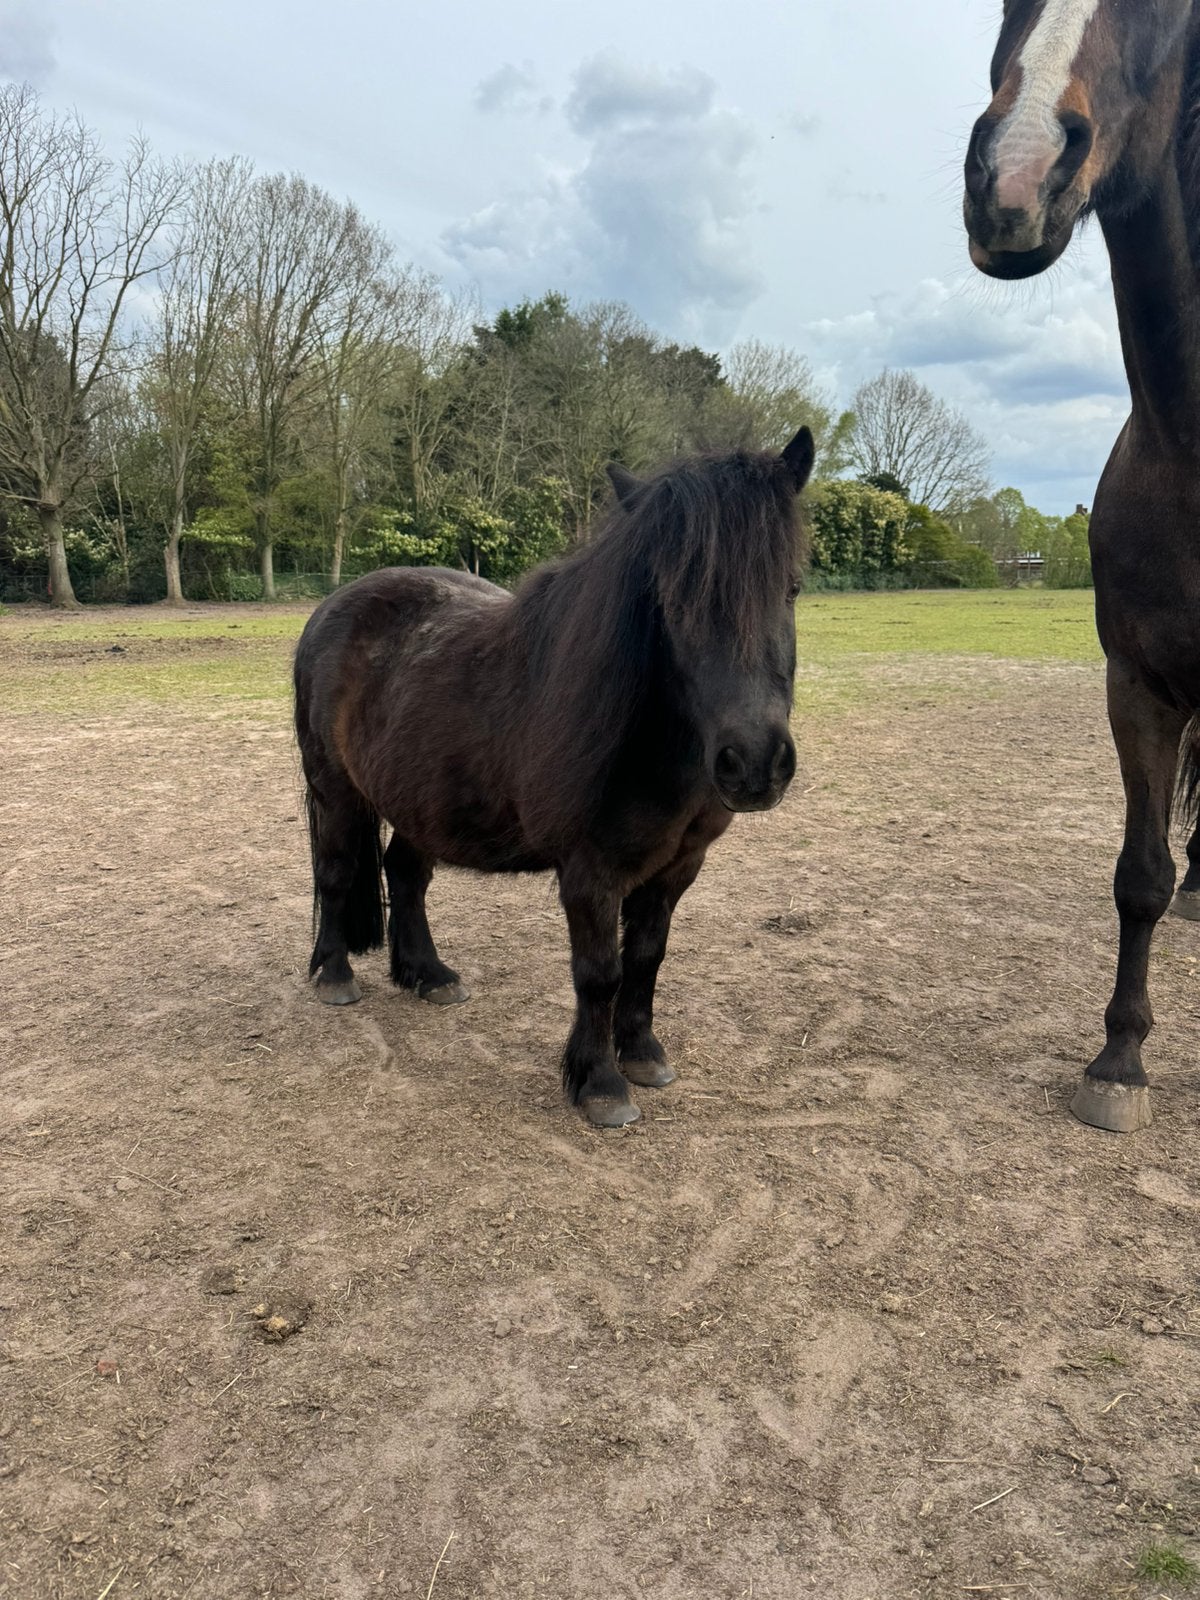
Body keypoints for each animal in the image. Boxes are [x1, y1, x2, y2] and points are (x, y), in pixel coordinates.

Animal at [293, 430, 814, 1127]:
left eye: (791, 588)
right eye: (673, 602)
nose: (754, 762)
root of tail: (333, 607)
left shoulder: (678, 867)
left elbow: (646, 958)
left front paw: (642, 1053)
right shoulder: (590, 872)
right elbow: (599, 972)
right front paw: (600, 1084)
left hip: (418, 800)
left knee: (406, 875)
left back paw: (429, 975)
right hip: (336, 790)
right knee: (336, 870)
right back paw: (335, 976)